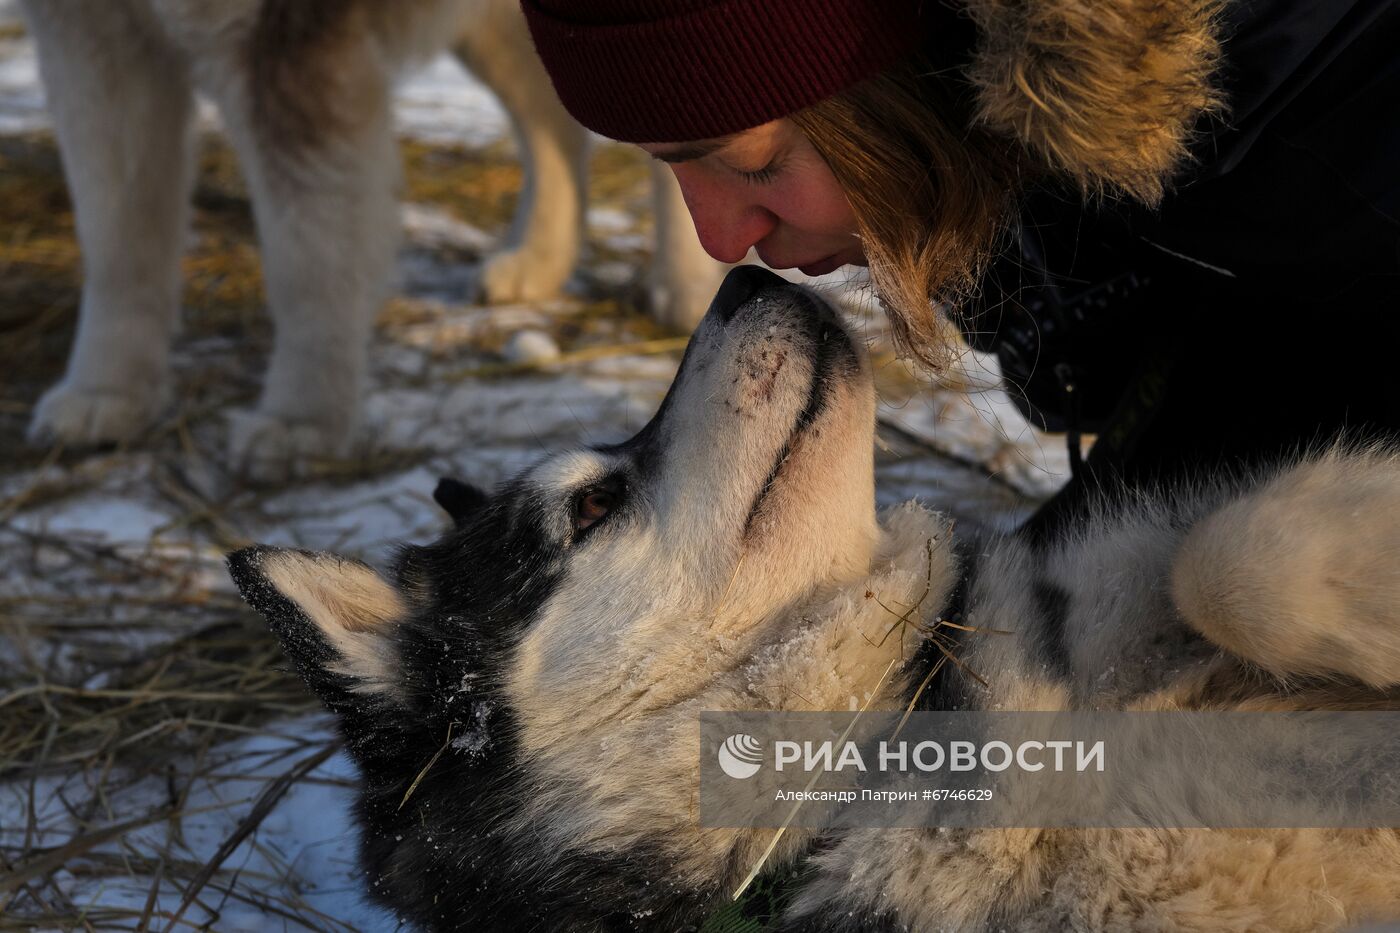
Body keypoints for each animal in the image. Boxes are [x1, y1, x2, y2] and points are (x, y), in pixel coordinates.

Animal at [19, 0, 722, 476]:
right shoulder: (89, 34)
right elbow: (118, 237)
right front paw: (107, 391)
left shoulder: (281, 44)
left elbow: (308, 255)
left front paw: (304, 418)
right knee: (554, 121)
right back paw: (538, 260)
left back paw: (685, 283)